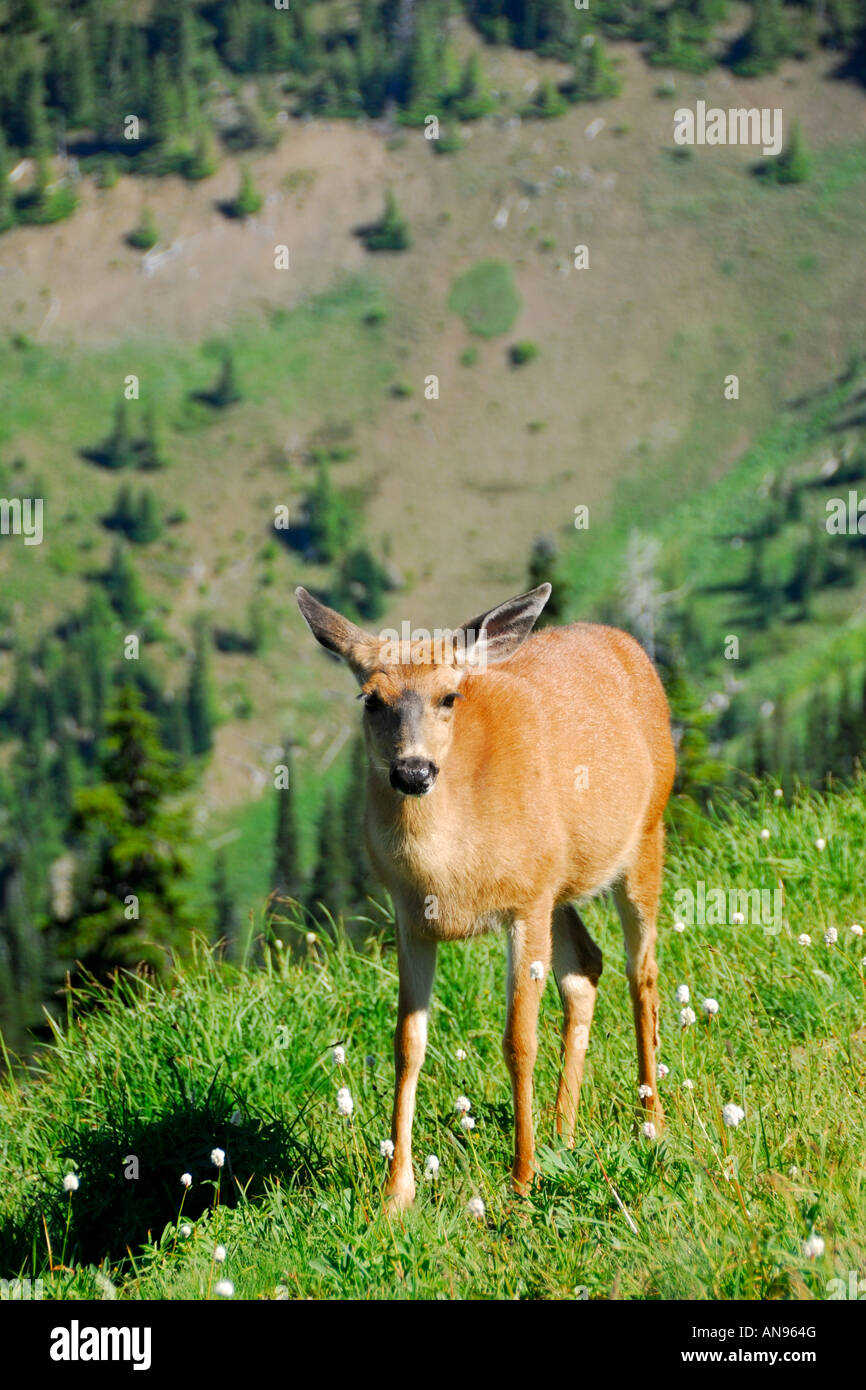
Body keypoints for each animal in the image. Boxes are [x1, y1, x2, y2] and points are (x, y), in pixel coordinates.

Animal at [296, 581, 678, 1212]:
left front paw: (522, 1181)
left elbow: (519, 1042)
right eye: (370, 699)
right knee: (586, 969)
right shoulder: (411, 917)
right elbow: (407, 1043)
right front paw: (396, 1194)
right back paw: (563, 1132)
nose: (413, 772)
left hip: (646, 834)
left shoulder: (524, 903)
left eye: (450, 696)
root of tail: (624, 642)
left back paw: (651, 1121)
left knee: (641, 970)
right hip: (559, 882)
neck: (447, 870)